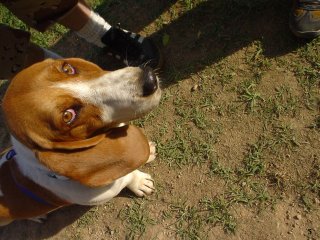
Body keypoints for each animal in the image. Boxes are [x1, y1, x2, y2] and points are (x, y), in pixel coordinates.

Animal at [0, 58, 161, 225]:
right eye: (68, 116)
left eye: (68, 68)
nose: (149, 79)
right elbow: (127, 177)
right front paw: (139, 182)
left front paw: (146, 157)